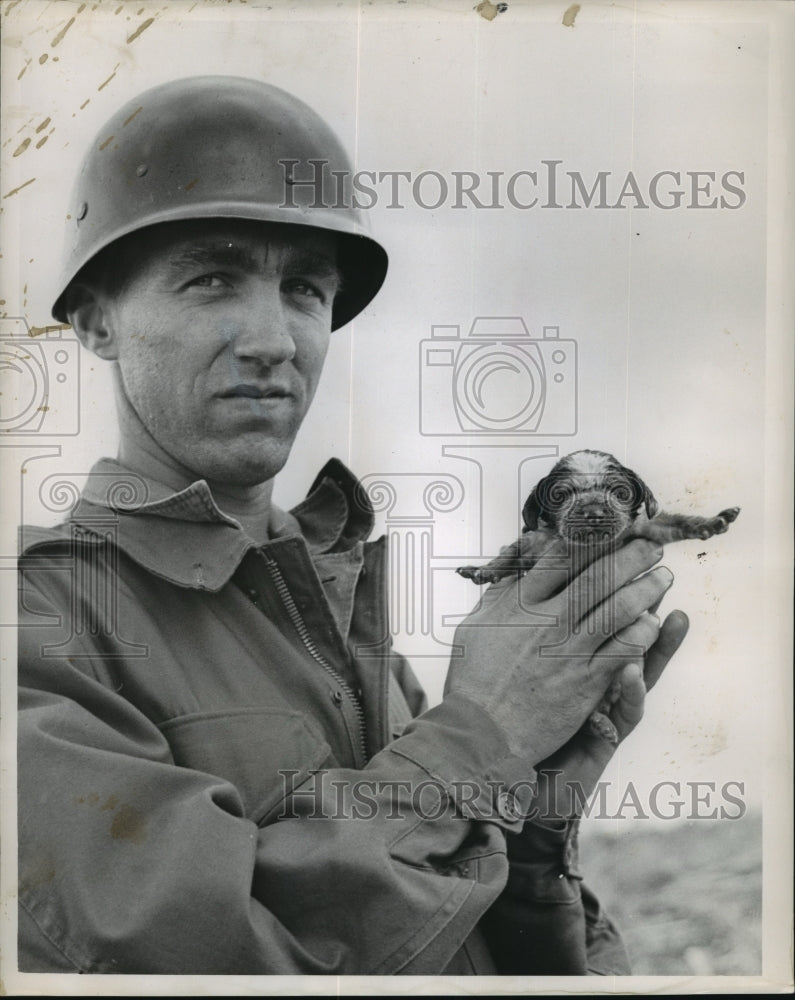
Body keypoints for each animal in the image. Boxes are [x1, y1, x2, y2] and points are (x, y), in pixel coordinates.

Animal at [458, 452, 744, 744]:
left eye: (620, 493)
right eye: (561, 495)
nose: (594, 513)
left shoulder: (644, 527)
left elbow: (674, 522)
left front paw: (712, 522)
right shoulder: (535, 541)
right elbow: (511, 553)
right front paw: (483, 570)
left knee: (603, 704)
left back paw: (601, 722)